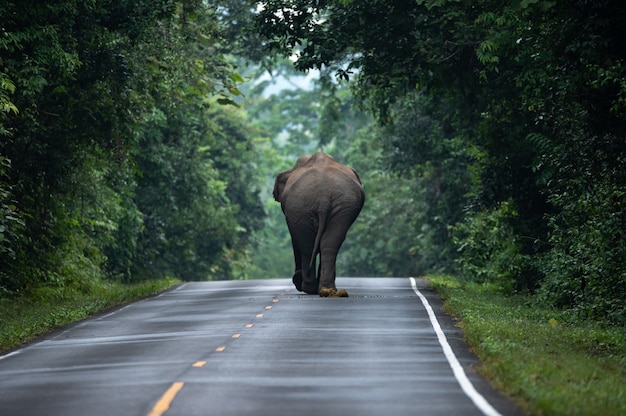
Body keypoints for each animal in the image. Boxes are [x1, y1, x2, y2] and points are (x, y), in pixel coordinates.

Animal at [270, 152, 364, 296]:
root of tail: (323, 195)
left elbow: (295, 240)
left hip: (302, 206)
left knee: (308, 244)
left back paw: (310, 288)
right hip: (335, 206)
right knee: (329, 242)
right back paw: (325, 289)